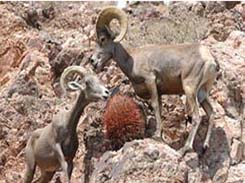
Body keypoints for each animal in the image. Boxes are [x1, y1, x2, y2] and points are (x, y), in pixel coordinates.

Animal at [89, 6, 218, 156]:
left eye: (103, 39)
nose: (92, 61)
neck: (132, 59)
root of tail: (209, 59)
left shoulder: (150, 81)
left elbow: (155, 106)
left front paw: (156, 135)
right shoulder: (159, 91)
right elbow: (160, 110)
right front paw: (160, 135)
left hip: (189, 89)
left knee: (197, 117)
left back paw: (185, 149)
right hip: (202, 93)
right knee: (211, 114)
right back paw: (204, 147)